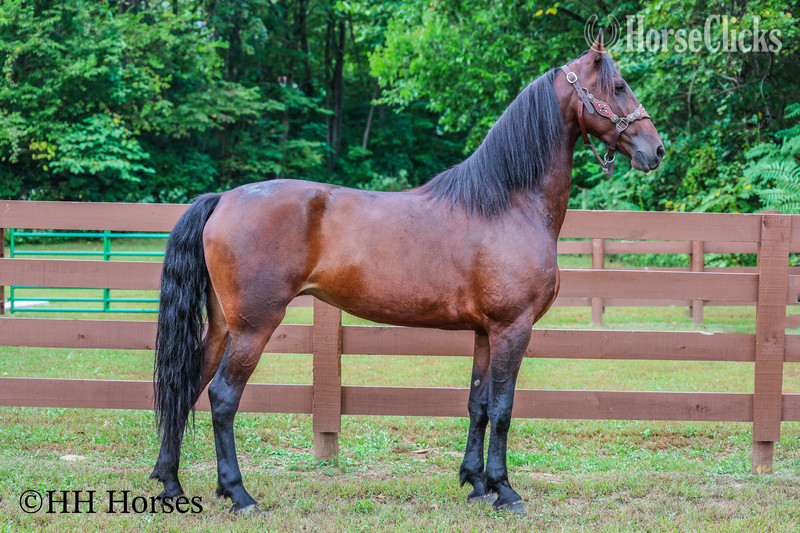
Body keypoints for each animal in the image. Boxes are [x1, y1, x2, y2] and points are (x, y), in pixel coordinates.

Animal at [150, 32, 663, 515]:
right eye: (619, 86)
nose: (656, 149)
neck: (507, 204)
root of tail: (224, 198)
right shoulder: (512, 328)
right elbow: (502, 409)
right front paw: (504, 490)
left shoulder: (484, 332)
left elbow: (477, 404)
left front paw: (476, 483)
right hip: (254, 327)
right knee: (221, 396)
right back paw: (238, 494)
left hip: (223, 326)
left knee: (187, 386)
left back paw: (172, 484)